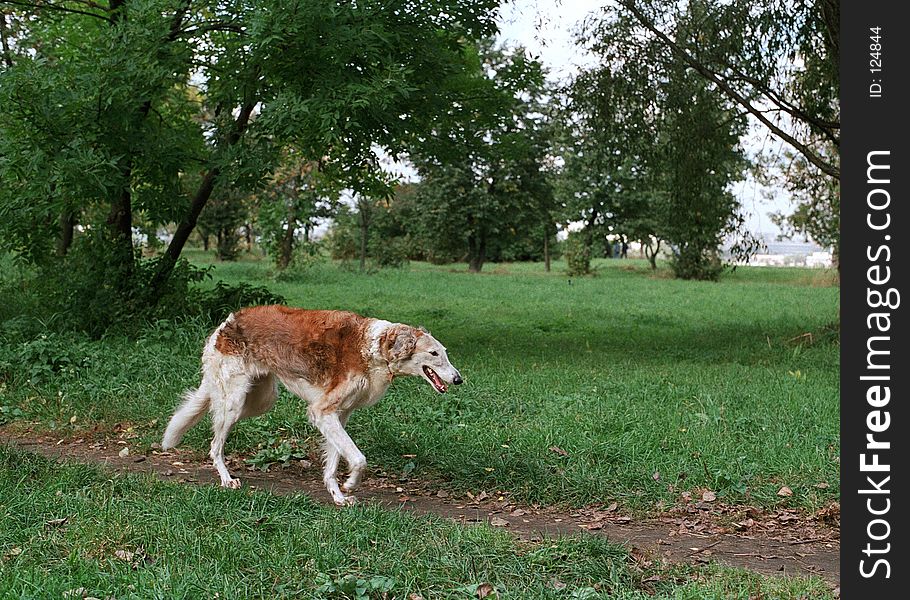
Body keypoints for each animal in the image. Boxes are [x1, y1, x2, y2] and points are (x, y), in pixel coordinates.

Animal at [161, 304, 464, 506]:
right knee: (215, 443)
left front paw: (339, 497)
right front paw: (350, 484)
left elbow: (333, 463)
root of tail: (226, 324)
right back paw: (226, 479)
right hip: (235, 402)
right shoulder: (321, 412)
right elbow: (359, 459)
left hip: (260, 400)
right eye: (434, 353)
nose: (459, 379)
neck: (374, 347)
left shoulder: (338, 415)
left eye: (445, 353)